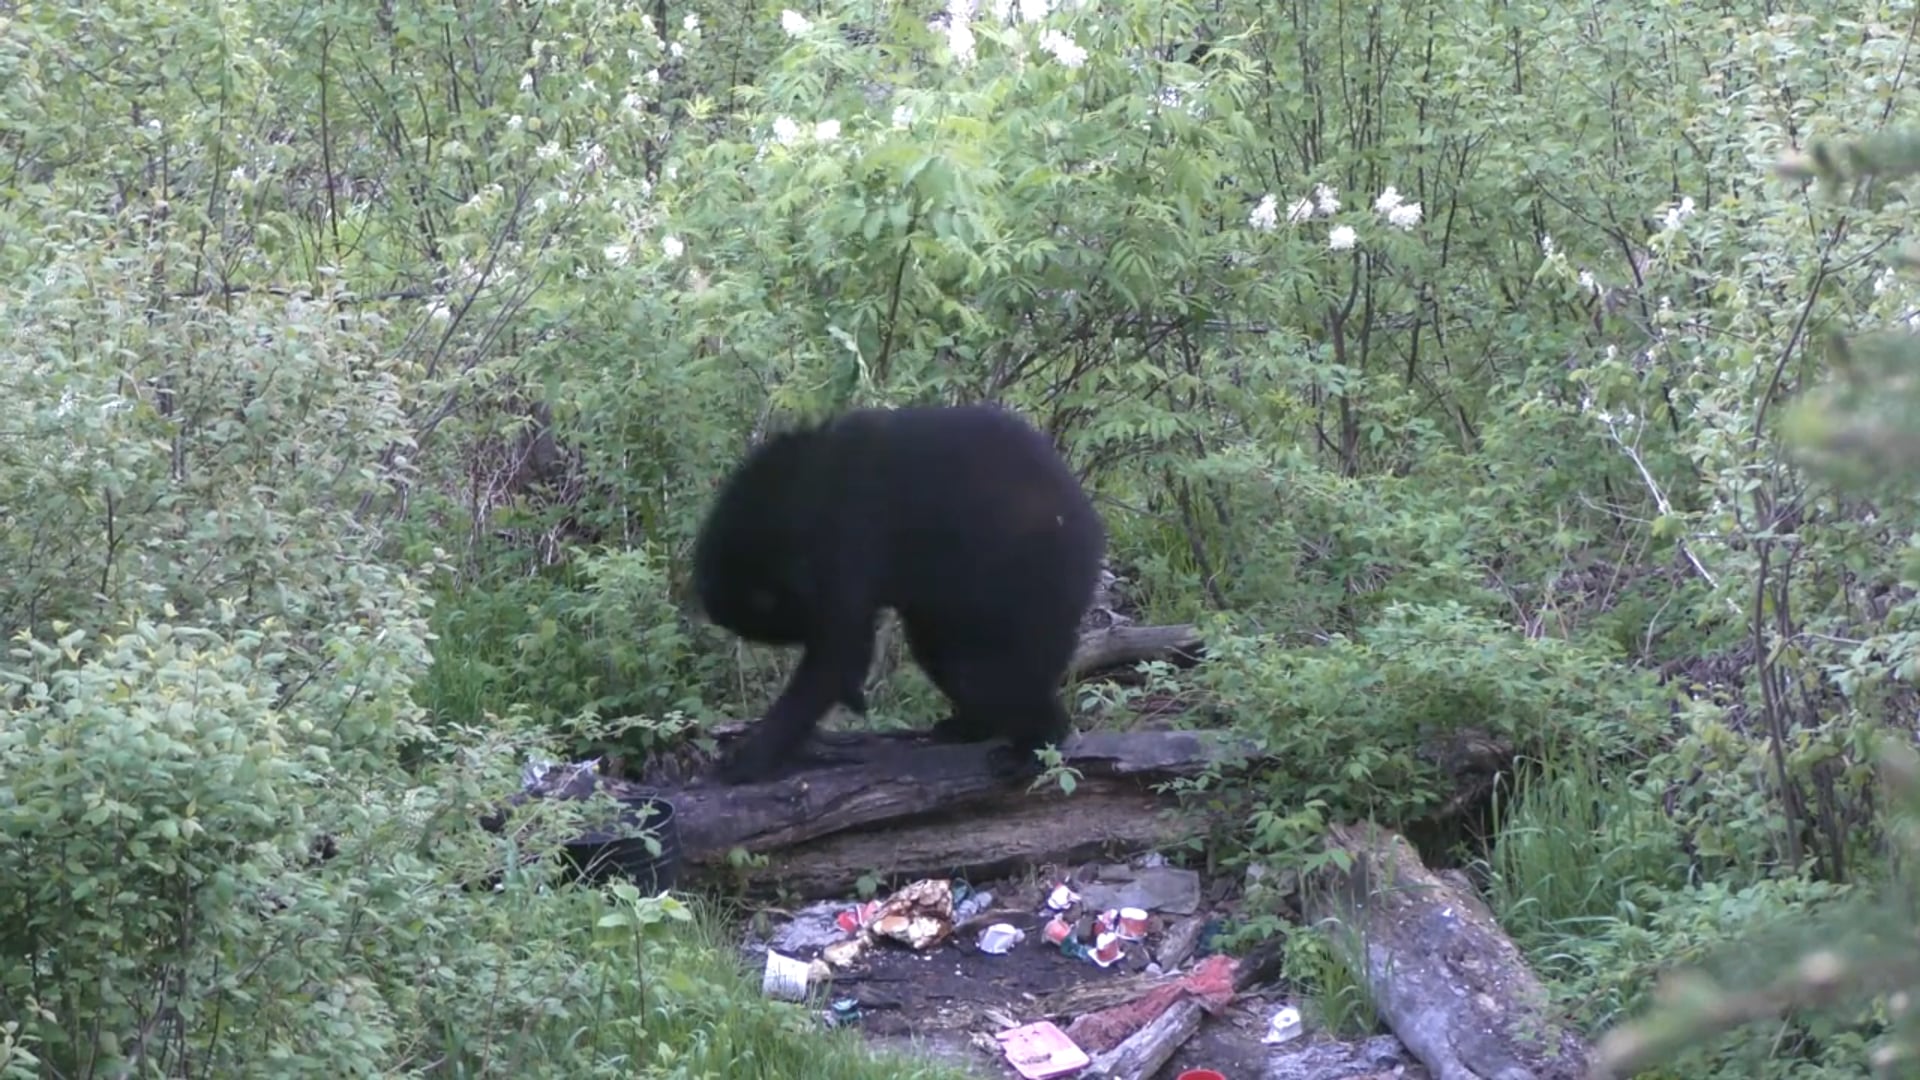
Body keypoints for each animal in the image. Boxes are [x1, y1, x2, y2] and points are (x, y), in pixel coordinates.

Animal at [692, 402, 1107, 786]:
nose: (856, 696)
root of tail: (1091, 530)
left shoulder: (851, 540)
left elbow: (837, 650)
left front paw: (746, 757)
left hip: (1027, 582)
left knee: (995, 672)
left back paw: (1030, 746)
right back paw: (965, 726)